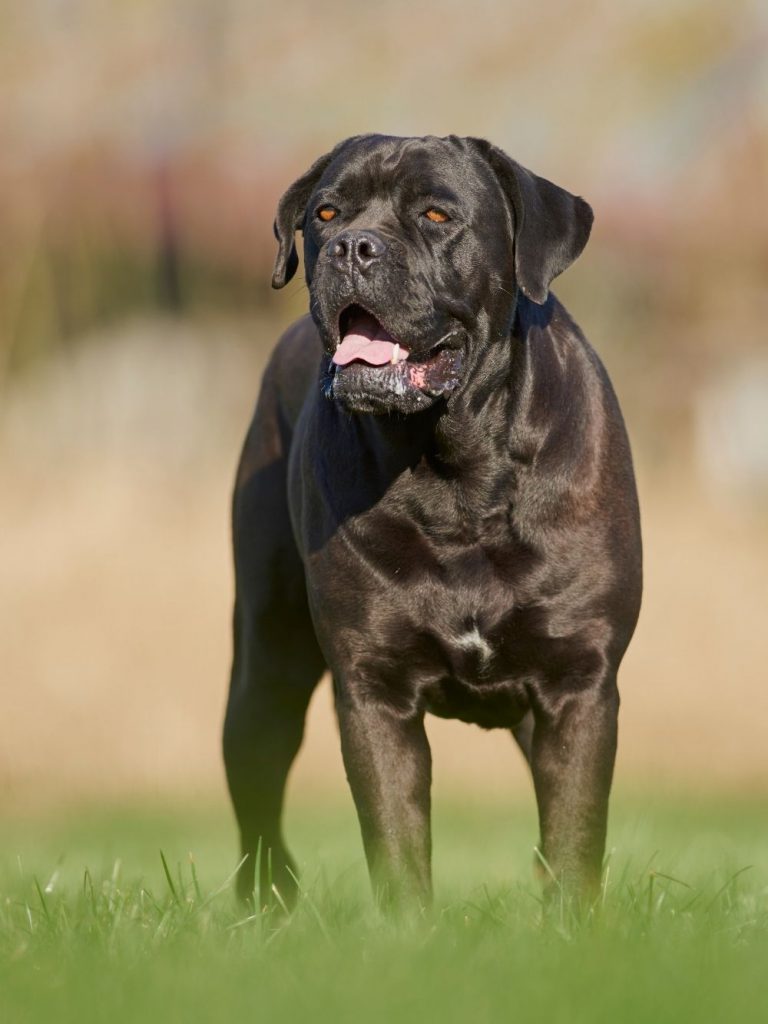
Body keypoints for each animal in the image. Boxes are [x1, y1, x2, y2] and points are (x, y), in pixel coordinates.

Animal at [222, 134, 643, 913]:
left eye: (437, 215)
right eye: (325, 212)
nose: (351, 247)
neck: (456, 470)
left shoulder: (577, 680)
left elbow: (575, 833)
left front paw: (572, 925)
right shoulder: (374, 688)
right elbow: (396, 840)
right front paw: (408, 933)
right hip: (267, 659)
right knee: (257, 781)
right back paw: (268, 900)